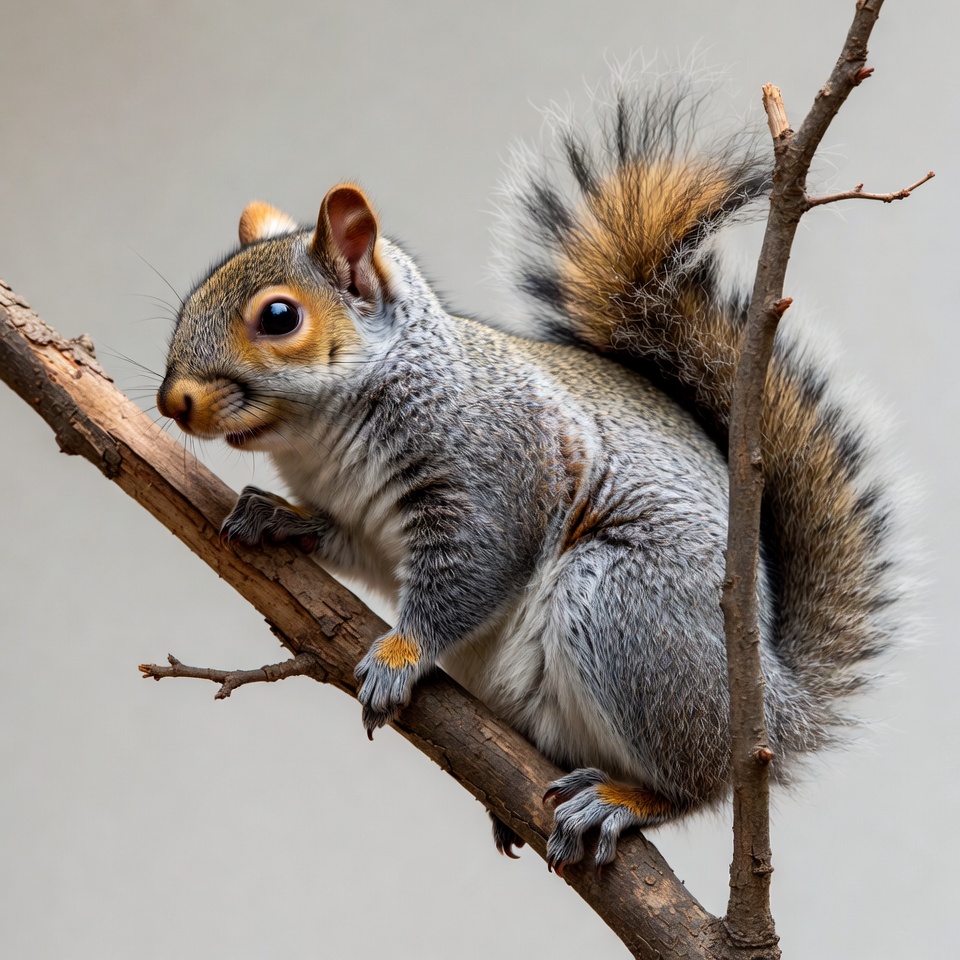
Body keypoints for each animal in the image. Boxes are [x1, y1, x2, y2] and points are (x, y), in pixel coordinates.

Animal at [156, 78, 901, 871]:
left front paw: (399, 654)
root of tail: (774, 713)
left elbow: (468, 578)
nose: (174, 402)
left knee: (696, 785)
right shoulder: (365, 524)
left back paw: (622, 801)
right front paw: (277, 517)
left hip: (627, 612)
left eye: (278, 318)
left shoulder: (496, 479)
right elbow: (343, 542)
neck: (324, 439)